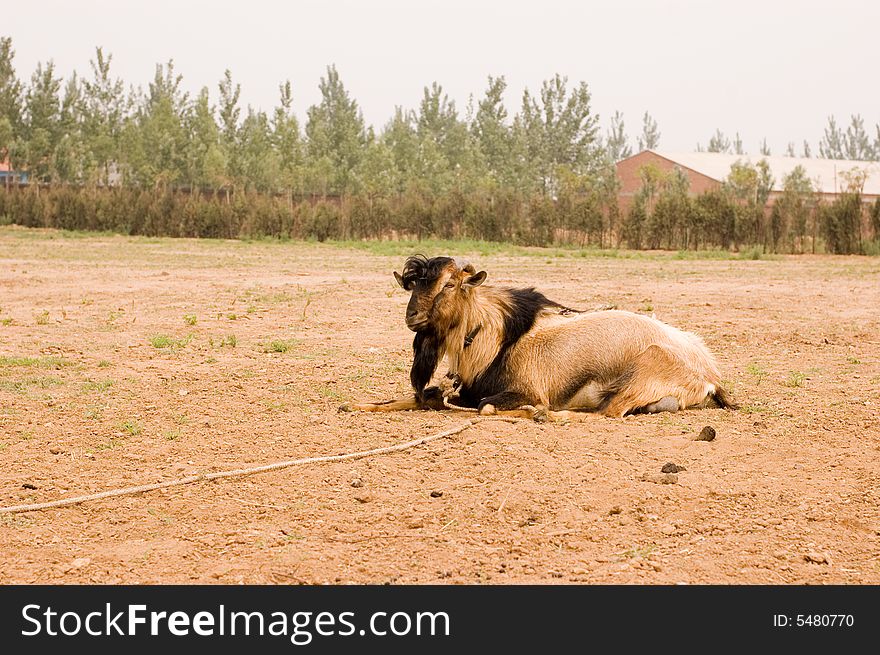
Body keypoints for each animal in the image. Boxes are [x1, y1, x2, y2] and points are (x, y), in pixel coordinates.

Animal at [340, 254, 740, 422]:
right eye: (414, 286)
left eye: (450, 284)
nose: (413, 317)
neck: (496, 339)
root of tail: (708, 375)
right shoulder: (457, 392)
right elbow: (416, 399)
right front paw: (355, 406)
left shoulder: (524, 389)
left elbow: (485, 407)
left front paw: (533, 410)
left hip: (642, 372)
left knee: (607, 414)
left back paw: (547, 416)